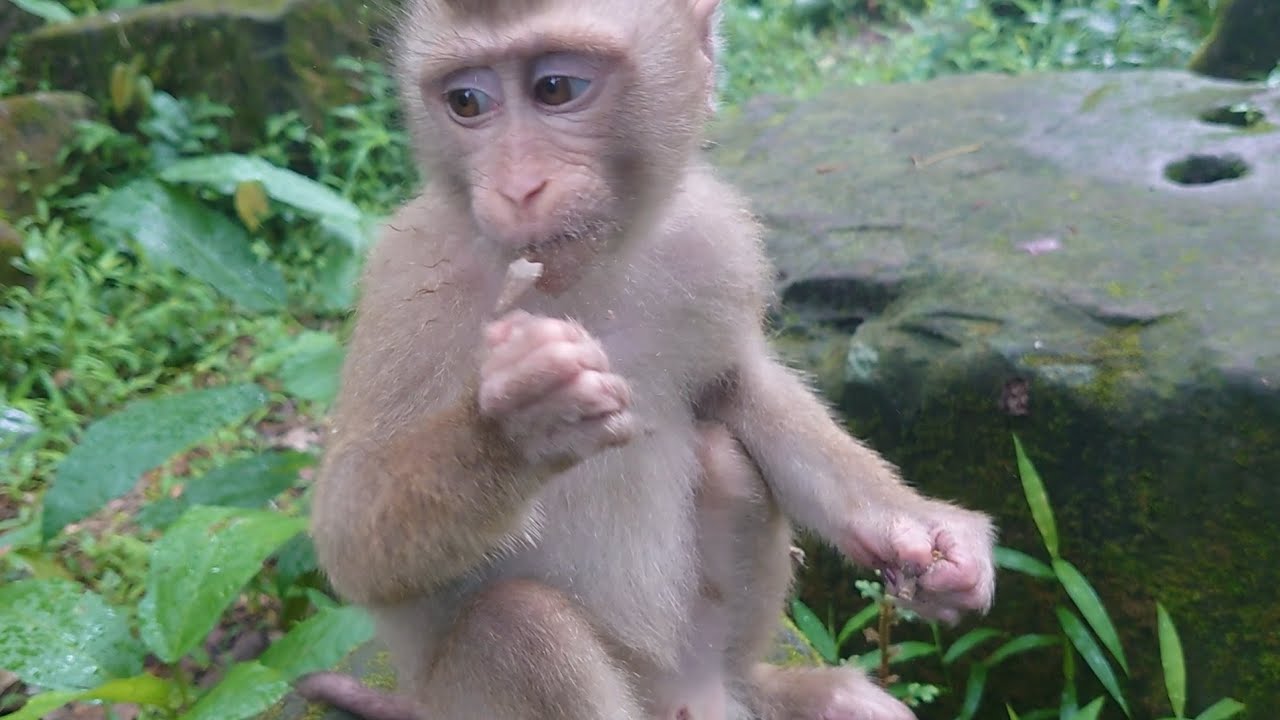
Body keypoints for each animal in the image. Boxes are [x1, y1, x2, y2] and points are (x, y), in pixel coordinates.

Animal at [303, 0, 997, 718]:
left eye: (556, 88)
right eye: (467, 101)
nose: (517, 189)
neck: (583, 281)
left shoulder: (712, 238)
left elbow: (734, 384)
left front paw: (918, 533)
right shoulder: (409, 280)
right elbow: (351, 534)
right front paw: (518, 424)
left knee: (726, 457)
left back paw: (774, 690)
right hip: (460, 702)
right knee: (518, 626)